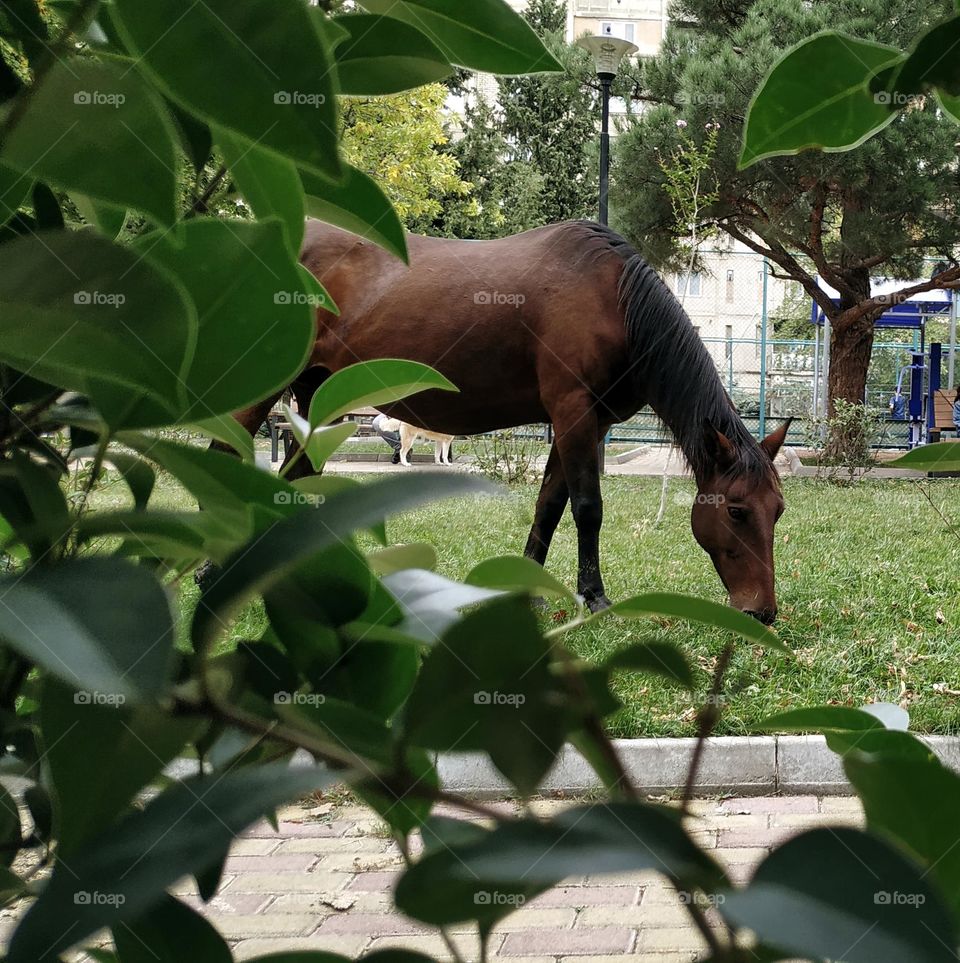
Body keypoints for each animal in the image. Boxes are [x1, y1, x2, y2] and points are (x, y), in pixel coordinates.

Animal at [232, 219, 789, 620]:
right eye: (737, 511)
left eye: (778, 510)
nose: (761, 612)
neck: (616, 302)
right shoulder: (573, 414)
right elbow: (588, 508)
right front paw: (595, 597)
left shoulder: (585, 424)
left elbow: (549, 507)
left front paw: (531, 592)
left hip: (317, 402)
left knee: (296, 478)